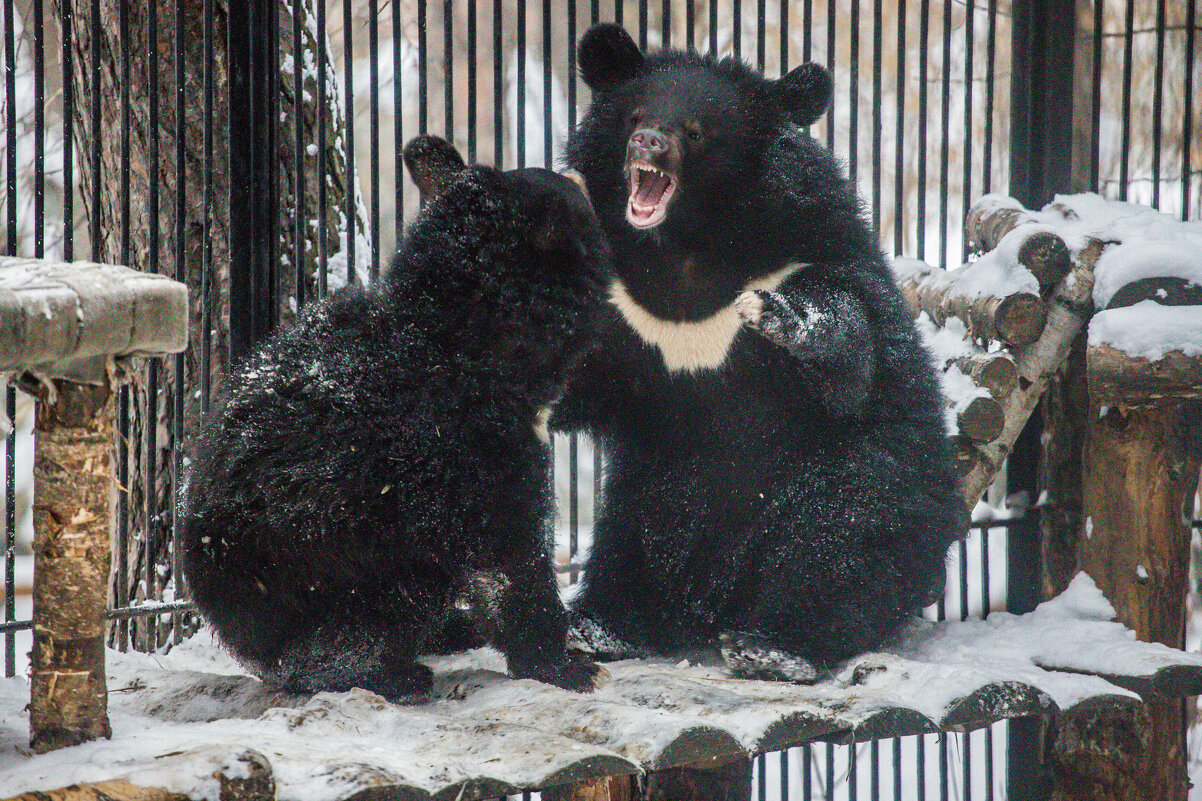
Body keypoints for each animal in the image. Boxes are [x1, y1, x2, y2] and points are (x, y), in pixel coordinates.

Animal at [177, 134, 610, 697]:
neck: (462, 341)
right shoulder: (465, 444)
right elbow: (508, 553)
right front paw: (563, 663)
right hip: (341, 574)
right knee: (373, 617)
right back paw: (384, 672)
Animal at [560, 23, 966, 673]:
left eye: (694, 131)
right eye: (635, 118)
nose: (648, 144)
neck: (685, 248)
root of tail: (719, 596)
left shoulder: (806, 251)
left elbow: (848, 354)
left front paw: (778, 316)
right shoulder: (621, 300)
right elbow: (576, 375)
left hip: (873, 490)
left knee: (838, 541)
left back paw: (772, 644)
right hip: (653, 482)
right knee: (631, 546)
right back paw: (600, 625)